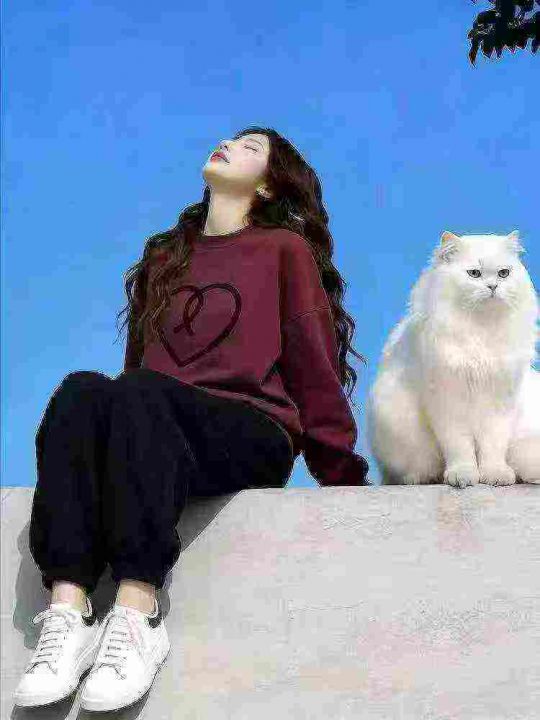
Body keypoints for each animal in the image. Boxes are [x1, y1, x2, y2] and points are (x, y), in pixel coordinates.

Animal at [365, 230, 539, 488]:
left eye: (503, 273)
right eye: (474, 273)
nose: (493, 286)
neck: (481, 330)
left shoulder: (499, 403)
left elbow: (493, 446)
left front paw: (495, 475)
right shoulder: (448, 401)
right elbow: (460, 448)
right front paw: (463, 475)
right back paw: (424, 477)